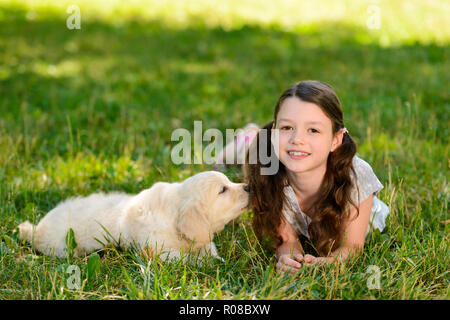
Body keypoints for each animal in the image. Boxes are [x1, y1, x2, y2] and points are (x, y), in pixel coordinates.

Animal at [18, 171, 250, 262]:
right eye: (222, 190)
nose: (249, 187)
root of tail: (36, 229)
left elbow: (208, 249)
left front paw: (218, 260)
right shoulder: (161, 251)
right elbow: (187, 259)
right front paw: (210, 264)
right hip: (61, 247)